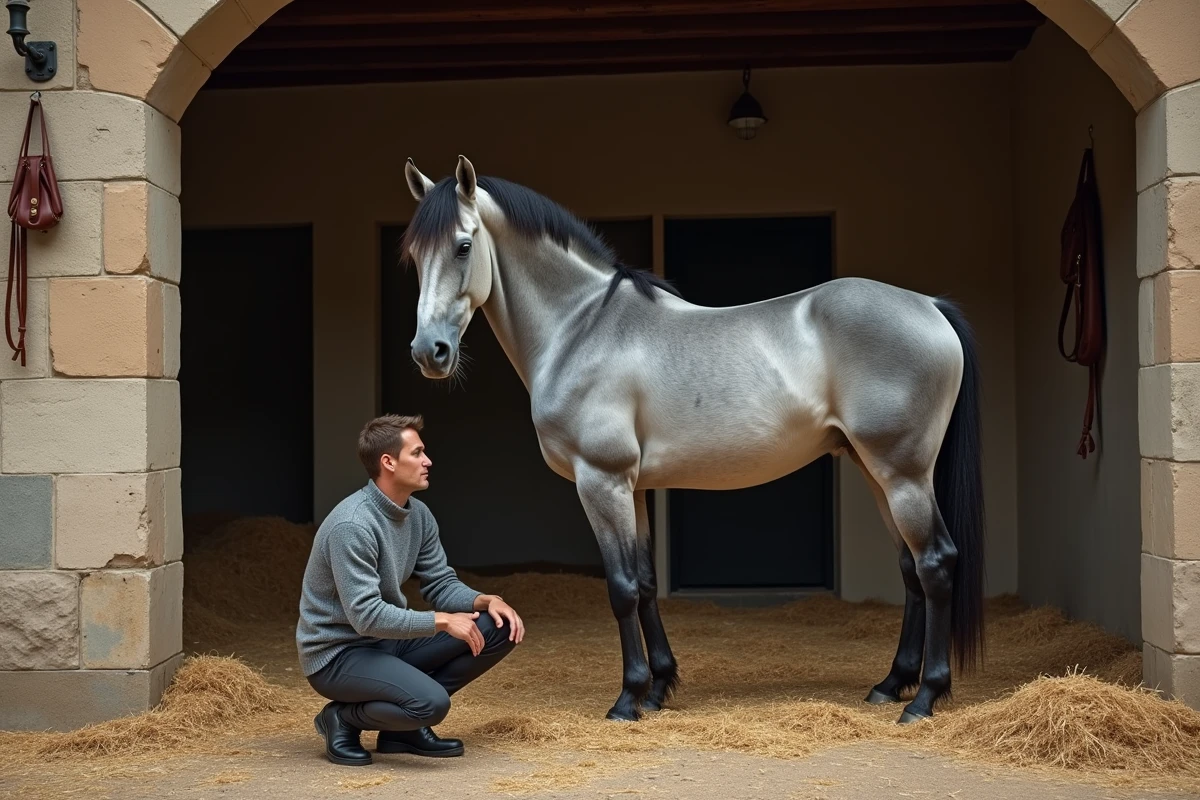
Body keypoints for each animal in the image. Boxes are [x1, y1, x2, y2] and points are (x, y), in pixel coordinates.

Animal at [399, 155, 985, 725]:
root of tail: (929, 305)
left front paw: (628, 699)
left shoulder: (600, 481)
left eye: (464, 245)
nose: (429, 352)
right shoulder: (632, 488)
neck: (581, 329)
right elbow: (644, 582)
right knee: (911, 569)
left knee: (935, 563)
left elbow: (620, 588)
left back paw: (923, 699)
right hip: (875, 471)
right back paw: (890, 685)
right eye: (414, 255)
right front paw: (659, 688)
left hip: (902, 474)